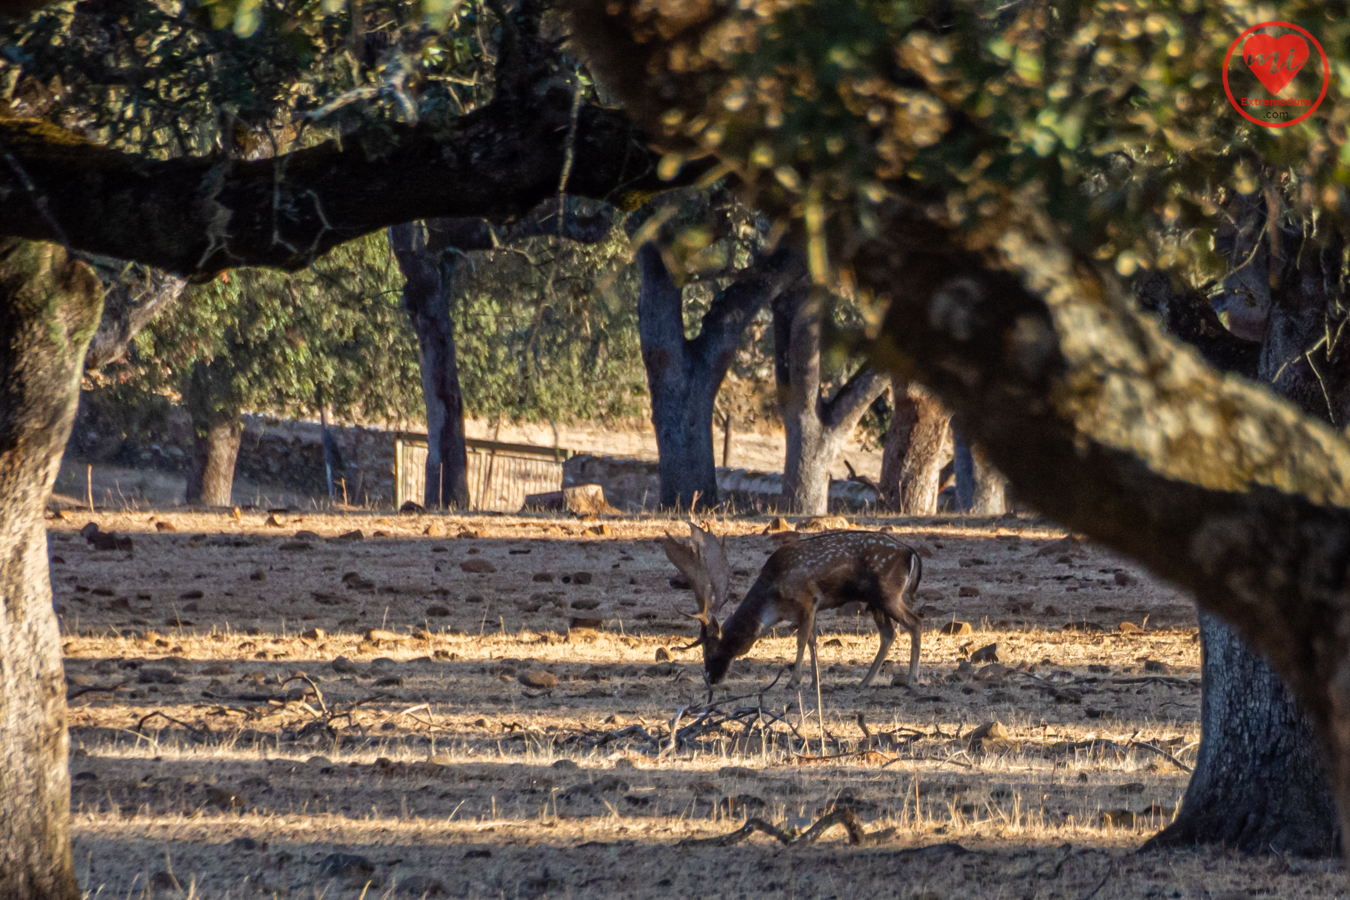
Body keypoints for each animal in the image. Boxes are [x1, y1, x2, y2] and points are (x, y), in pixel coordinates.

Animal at [658, 523, 923, 685]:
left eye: (711, 648)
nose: (711, 678)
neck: (775, 603)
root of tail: (911, 553)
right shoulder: (811, 608)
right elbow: (813, 640)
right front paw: (814, 681)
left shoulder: (807, 598)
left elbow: (802, 639)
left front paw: (793, 681)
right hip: (876, 601)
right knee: (889, 633)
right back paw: (864, 681)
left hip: (888, 594)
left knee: (915, 622)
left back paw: (912, 679)